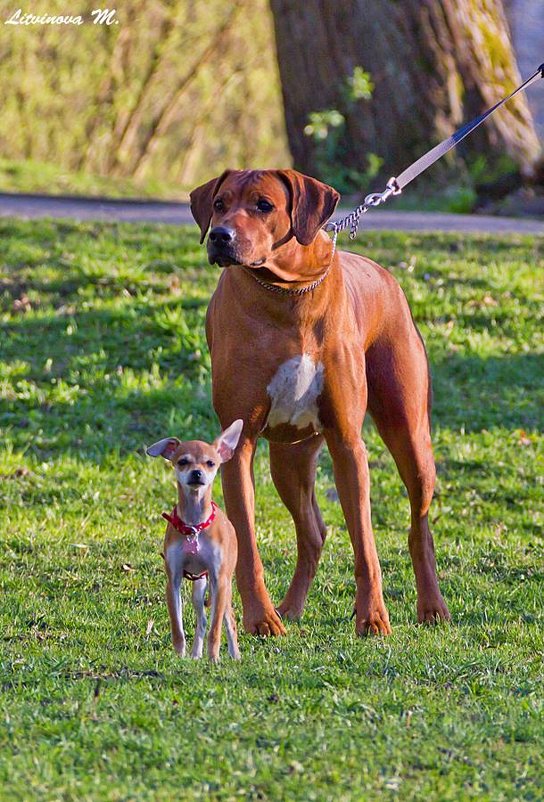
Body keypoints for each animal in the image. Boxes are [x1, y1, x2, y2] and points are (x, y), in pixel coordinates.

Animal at [148, 416, 243, 660]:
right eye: (182, 462)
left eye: (210, 463)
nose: (197, 473)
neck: (194, 526)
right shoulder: (173, 580)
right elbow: (178, 626)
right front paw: (179, 656)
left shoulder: (219, 580)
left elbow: (216, 628)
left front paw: (214, 658)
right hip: (199, 588)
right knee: (201, 621)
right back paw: (195, 654)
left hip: (223, 588)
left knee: (228, 620)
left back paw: (234, 655)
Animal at [190, 170, 450, 636]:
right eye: (219, 204)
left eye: (263, 205)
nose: (219, 236)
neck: (287, 291)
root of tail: (387, 276)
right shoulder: (239, 447)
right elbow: (248, 547)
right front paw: (261, 619)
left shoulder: (347, 442)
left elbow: (365, 544)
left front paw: (372, 618)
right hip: (289, 459)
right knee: (313, 534)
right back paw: (289, 609)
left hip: (410, 436)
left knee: (418, 526)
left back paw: (432, 607)